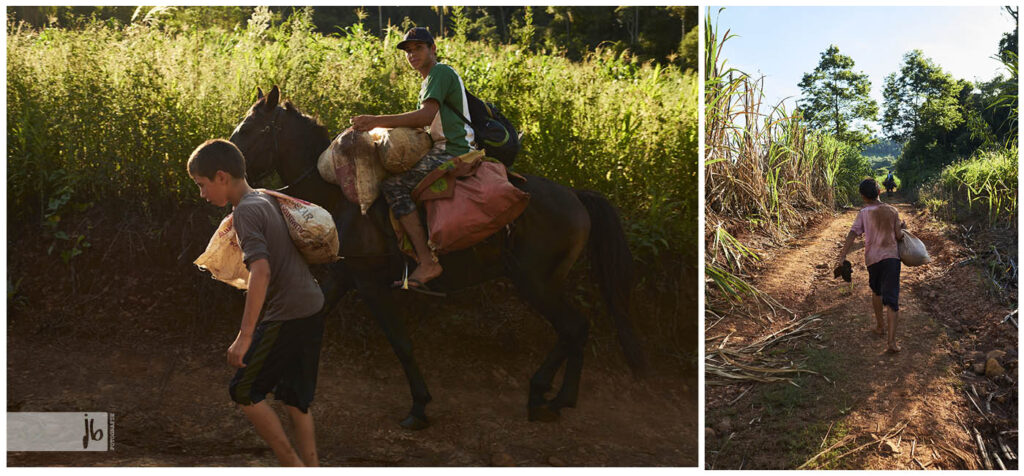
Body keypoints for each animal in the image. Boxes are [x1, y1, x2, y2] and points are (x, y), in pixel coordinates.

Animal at [229, 86, 643, 429]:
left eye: (250, 127)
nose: (223, 154)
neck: (342, 197)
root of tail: (576, 196)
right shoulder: (345, 276)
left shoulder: (369, 283)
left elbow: (401, 343)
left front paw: (419, 407)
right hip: (541, 282)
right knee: (575, 329)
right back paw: (548, 395)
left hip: (536, 281)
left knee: (574, 327)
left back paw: (553, 398)